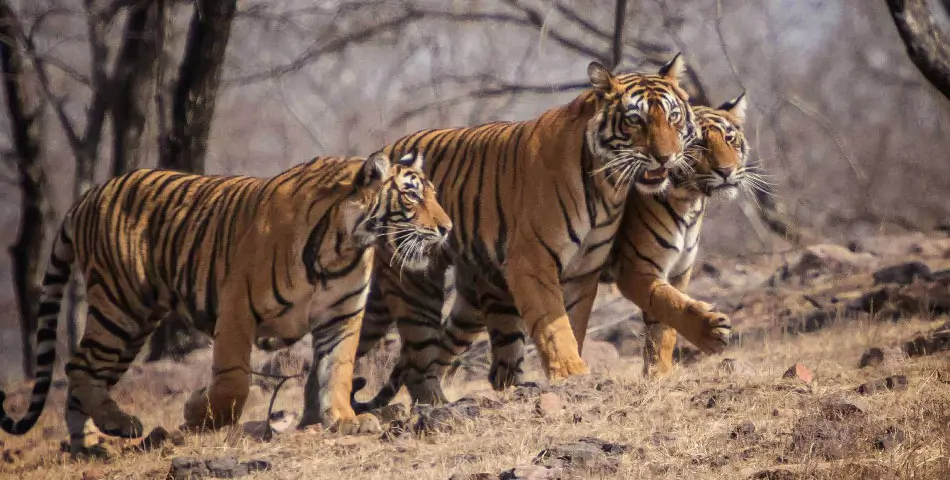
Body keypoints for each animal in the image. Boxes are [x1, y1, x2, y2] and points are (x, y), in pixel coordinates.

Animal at [0, 151, 451, 457]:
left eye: (433, 193)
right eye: (411, 197)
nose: (447, 228)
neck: (344, 245)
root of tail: (89, 195)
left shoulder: (342, 315)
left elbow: (337, 369)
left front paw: (344, 419)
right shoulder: (238, 307)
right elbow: (234, 382)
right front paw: (197, 412)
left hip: (132, 318)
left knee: (86, 372)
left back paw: (91, 443)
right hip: (121, 305)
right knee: (79, 366)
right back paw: (118, 426)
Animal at [350, 93, 753, 412]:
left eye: (730, 138)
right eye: (698, 144)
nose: (727, 171)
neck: (690, 202)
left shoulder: (677, 272)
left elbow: (663, 328)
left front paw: (660, 375)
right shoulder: (637, 270)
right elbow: (668, 306)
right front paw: (711, 332)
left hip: (474, 301)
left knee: (443, 349)